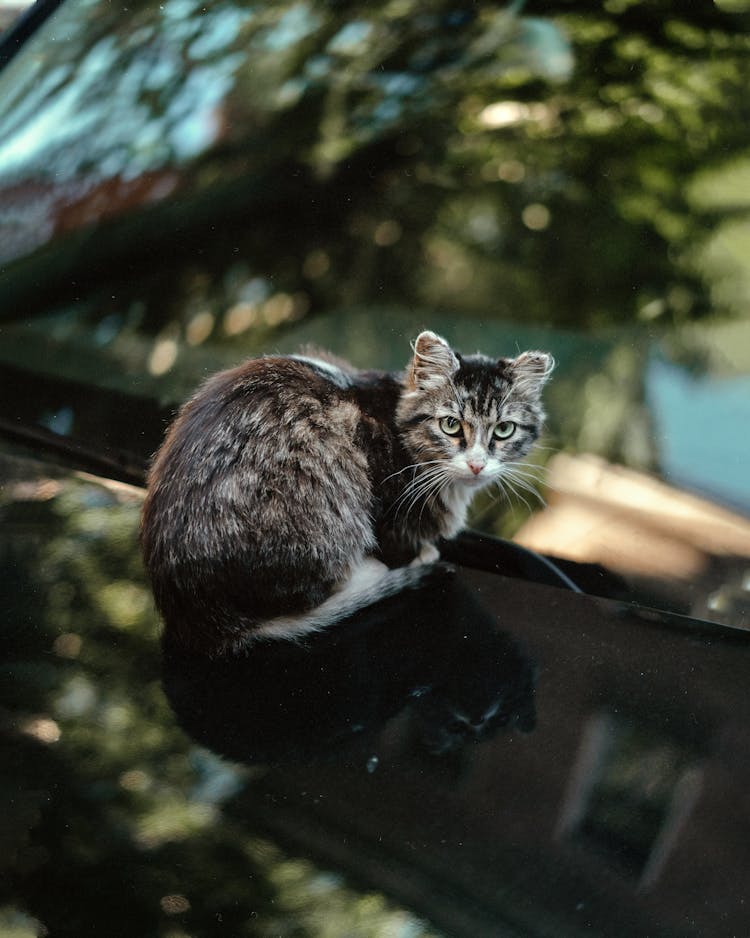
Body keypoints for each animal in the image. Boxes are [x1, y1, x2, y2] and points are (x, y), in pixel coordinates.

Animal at [142, 332, 552, 656]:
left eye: (503, 430)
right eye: (450, 425)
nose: (477, 465)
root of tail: (195, 616)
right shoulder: (387, 506)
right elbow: (397, 543)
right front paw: (418, 554)